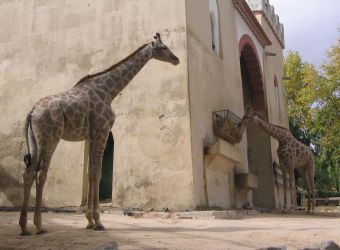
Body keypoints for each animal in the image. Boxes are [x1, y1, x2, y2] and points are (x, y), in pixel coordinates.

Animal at [19, 32, 179, 234]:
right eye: (164, 47)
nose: (176, 59)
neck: (109, 90)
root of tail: (31, 112)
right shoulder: (102, 131)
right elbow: (97, 173)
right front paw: (98, 221)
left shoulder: (91, 136)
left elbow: (90, 174)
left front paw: (89, 221)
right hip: (50, 137)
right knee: (41, 174)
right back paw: (39, 225)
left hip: (34, 139)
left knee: (28, 173)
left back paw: (24, 227)